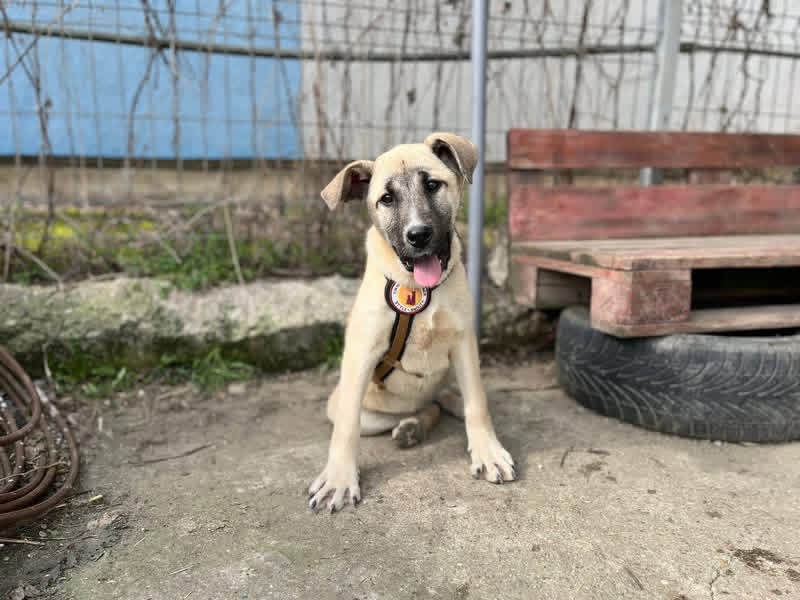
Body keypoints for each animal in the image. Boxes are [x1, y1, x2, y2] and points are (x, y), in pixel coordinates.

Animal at [308, 132, 516, 512]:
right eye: (386, 199)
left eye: (433, 185)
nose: (418, 235)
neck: (419, 288)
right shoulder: (361, 354)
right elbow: (345, 427)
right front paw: (339, 479)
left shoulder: (464, 343)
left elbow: (477, 403)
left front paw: (488, 451)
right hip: (365, 409)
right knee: (413, 408)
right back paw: (410, 428)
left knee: (447, 399)